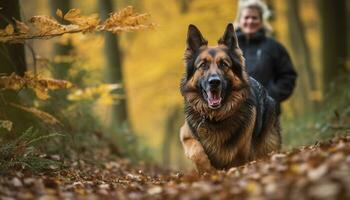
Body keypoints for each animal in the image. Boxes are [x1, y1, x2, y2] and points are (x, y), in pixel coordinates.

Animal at [180, 23, 282, 170]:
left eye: (224, 64)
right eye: (203, 65)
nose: (214, 82)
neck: (215, 118)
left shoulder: (242, 151)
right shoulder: (185, 134)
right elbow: (197, 151)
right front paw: (207, 170)